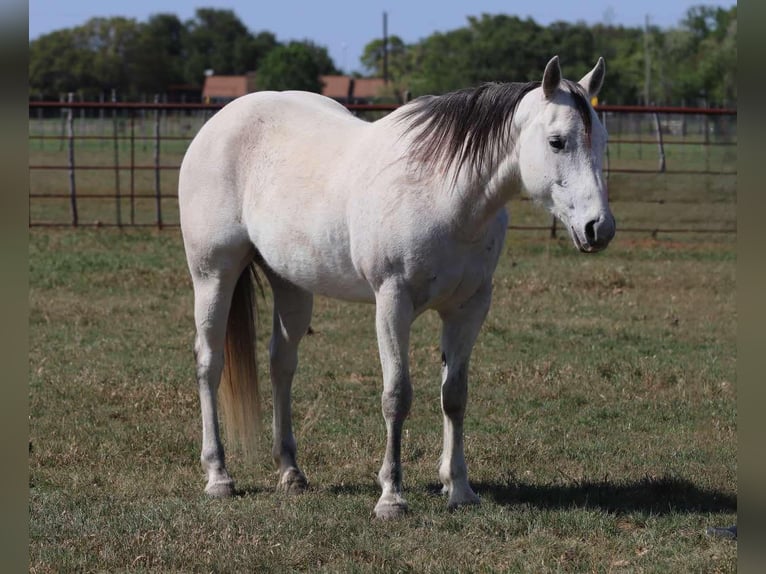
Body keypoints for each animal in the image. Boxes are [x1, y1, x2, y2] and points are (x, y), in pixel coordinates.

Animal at [178, 56, 615, 519]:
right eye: (557, 142)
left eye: (601, 141)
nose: (599, 228)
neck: (444, 194)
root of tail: (220, 122)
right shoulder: (392, 302)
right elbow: (397, 396)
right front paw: (391, 497)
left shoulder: (469, 308)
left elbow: (454, 395)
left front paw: (459, 488)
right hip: (213, 275)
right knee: (209, 363)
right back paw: (219, 475)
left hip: (292, 285)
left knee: (282, 363)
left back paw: (291, 472)